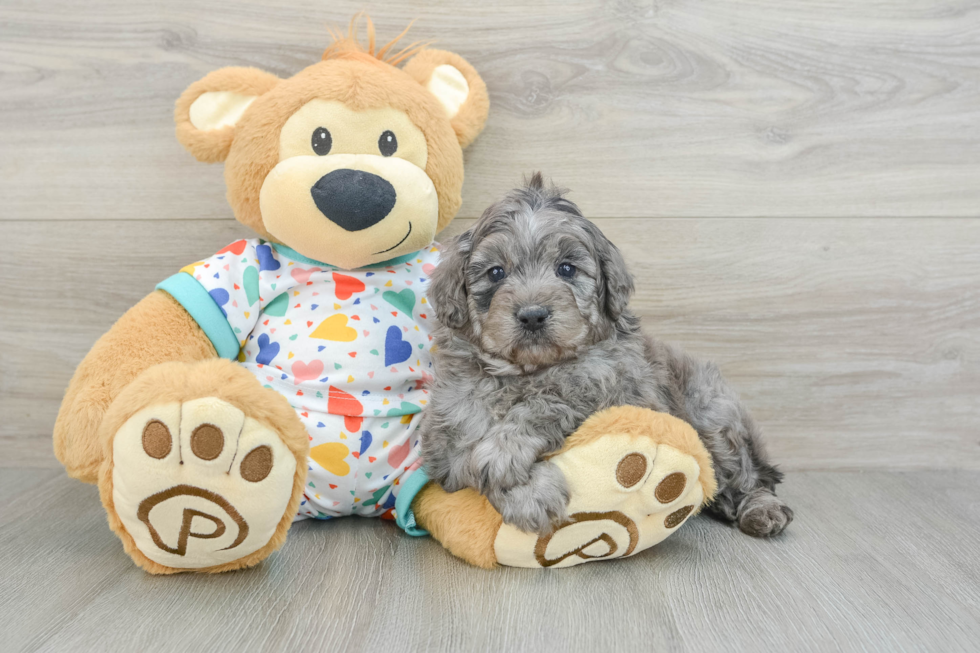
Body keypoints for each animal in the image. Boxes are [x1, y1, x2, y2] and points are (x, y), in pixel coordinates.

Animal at [424, 173, 796, 536]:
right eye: (496, 273)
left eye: (567, 269)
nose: (532, 315)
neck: (528, 371)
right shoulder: (446, 434)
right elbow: (466, 458)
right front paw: (532, 494)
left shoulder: (613, 392)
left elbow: (549, 403)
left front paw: (505, 452)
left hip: (713, 413)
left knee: (749, 475)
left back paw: (762, 510)